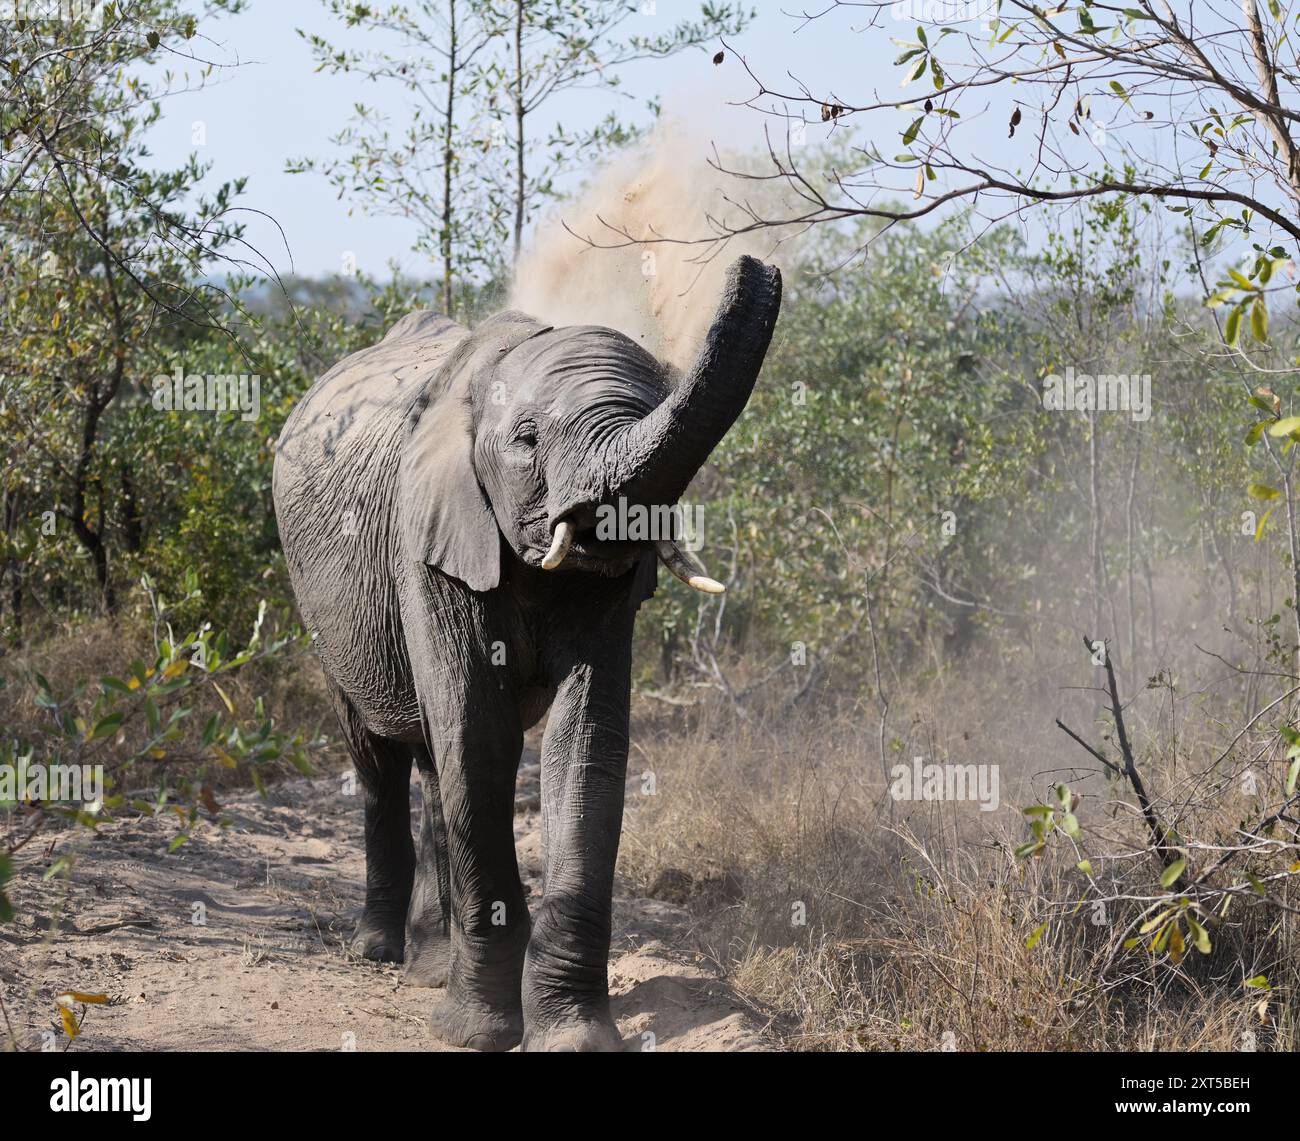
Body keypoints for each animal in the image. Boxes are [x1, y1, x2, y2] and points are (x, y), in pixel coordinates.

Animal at [271, 255, 782, 1051]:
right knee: (380, 754)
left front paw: (572, 1038)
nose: (754, 264)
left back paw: (428, 965)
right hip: (322, 607)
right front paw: (474, 1033)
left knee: (432, 760)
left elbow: (586, 740)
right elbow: (479, 736)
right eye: (528, 437)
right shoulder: (428, 535)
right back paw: (379, 952)